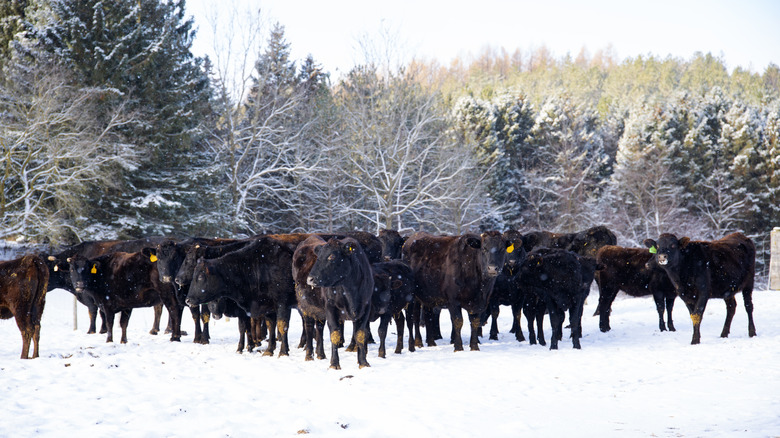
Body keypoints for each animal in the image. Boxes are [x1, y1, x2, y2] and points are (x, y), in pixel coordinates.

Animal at [308, 236, 374, 370]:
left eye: (332, 256)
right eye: (318, 256)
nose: (310, 279)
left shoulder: (366, 307)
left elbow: (360, 334)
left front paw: (363, 362)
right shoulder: (330, 307)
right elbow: (335, 334)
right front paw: (334, 363)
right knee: (316, 329)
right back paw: (317, 354)